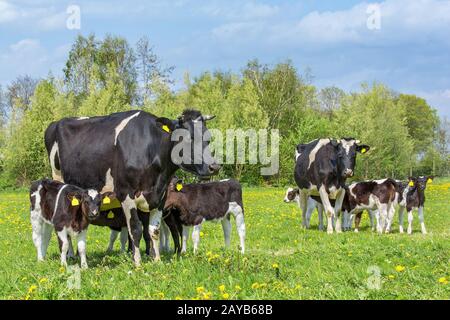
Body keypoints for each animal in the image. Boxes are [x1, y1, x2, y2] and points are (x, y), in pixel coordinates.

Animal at [45, 109, 220, 264]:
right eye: (187, 138)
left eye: (208, 138)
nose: (214, 167)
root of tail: (56, 122)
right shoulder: (126, 193)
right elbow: (136, 229)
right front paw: (137, 262)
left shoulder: (160, 197)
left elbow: (153, 230)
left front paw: (157, 260)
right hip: (59, 180)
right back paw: (70, 255)